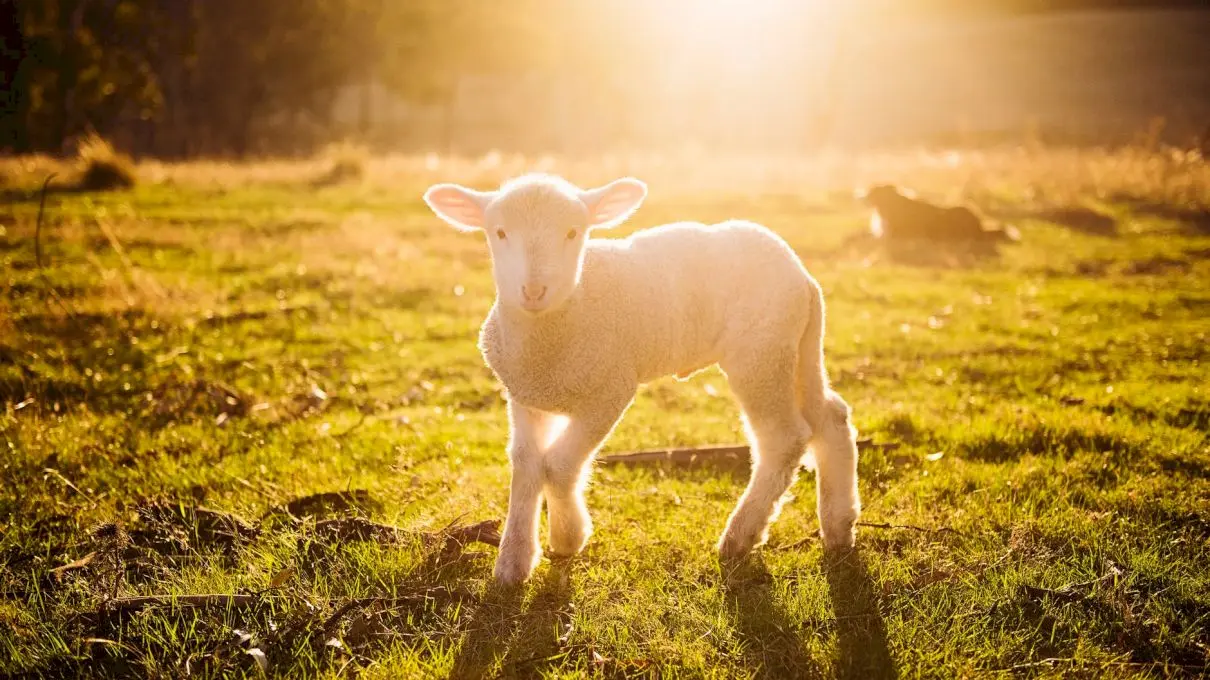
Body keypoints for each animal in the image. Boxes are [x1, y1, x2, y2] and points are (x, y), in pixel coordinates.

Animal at [423, 173, 861, 583]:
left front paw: (568, 536)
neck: (558, 324)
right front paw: (514, 561)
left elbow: (559, 465)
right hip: (798, 347)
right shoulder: (525, 395)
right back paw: (839, 526)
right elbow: (526, 464)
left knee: (783, 439)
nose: (533, 290)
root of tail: (803, 276)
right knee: (831, 417)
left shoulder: (610, 390)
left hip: (761, 354)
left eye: (573, 232)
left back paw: (740, 536)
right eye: (499, 232)